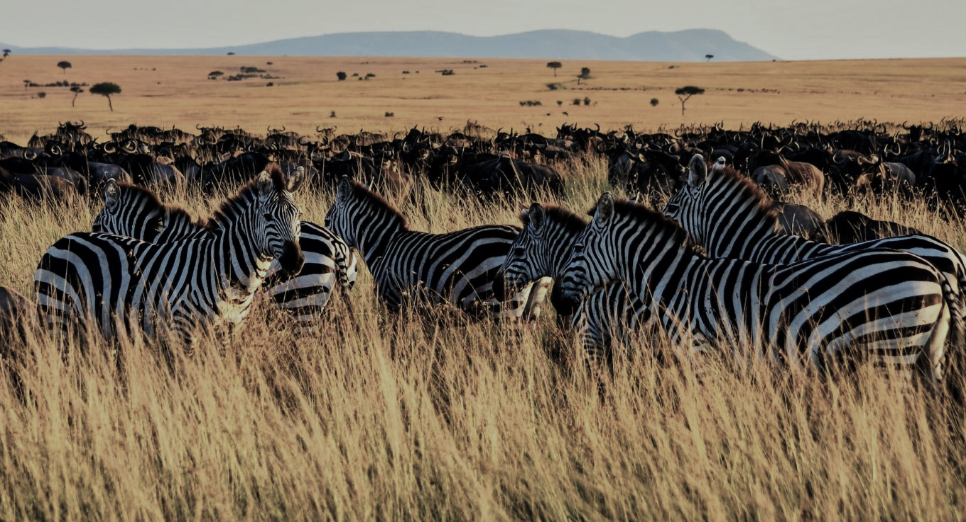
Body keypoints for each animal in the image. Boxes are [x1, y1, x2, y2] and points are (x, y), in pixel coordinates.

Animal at [35, 168, 305, 342]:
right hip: (56, 316)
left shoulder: (230, 331)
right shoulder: (183, 329)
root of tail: (60, 241)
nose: (295, 261)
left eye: (299, 215)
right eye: (267, 217)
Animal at [560, 192, 955, 384]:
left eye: (577, 249)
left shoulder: (702, 354)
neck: (676, 285)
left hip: (891, 349)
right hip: (927, 353)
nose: (560, 302)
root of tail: (934, 270)